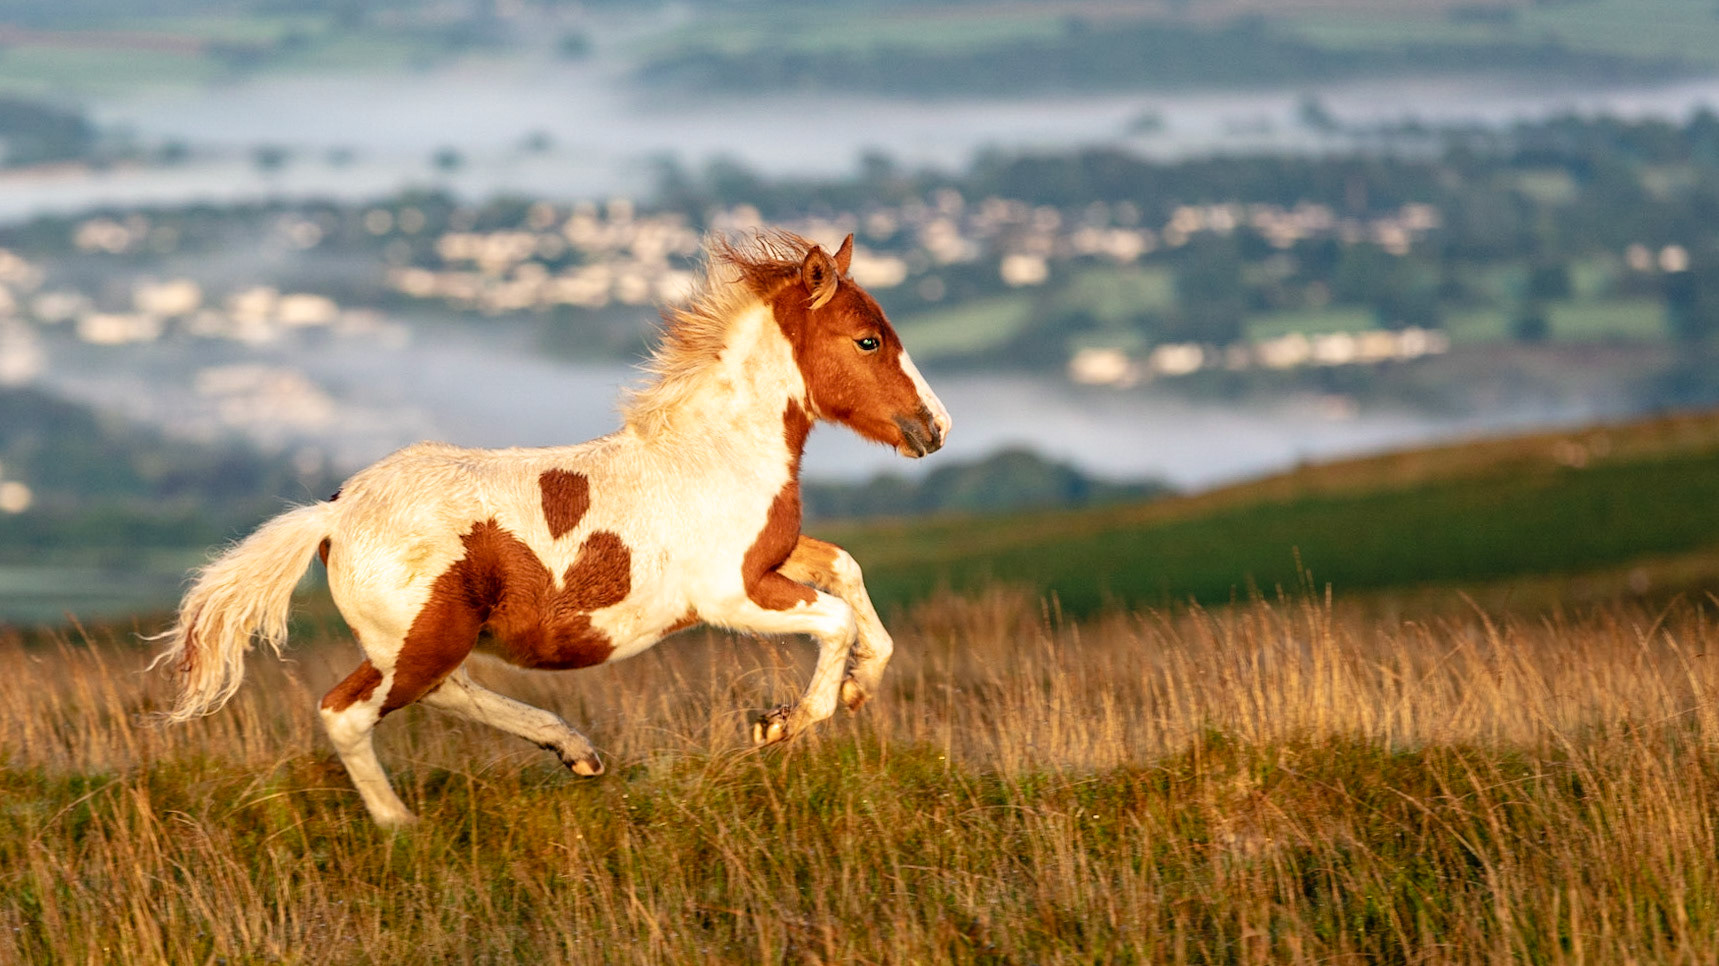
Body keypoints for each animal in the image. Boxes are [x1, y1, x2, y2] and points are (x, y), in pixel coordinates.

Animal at [151, 230, 951, 827]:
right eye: (868, 341)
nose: (935, 428)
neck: (715, 452)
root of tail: (333, 513)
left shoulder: (773, 561)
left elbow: (847, 573)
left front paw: (859, 689)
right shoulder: (732, 595)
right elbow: (835, 618)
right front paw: (782, 723)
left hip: (429, 639)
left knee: (444, 690)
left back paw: (575, 752)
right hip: (422, 635)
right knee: (347, 712)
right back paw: (401, 825)